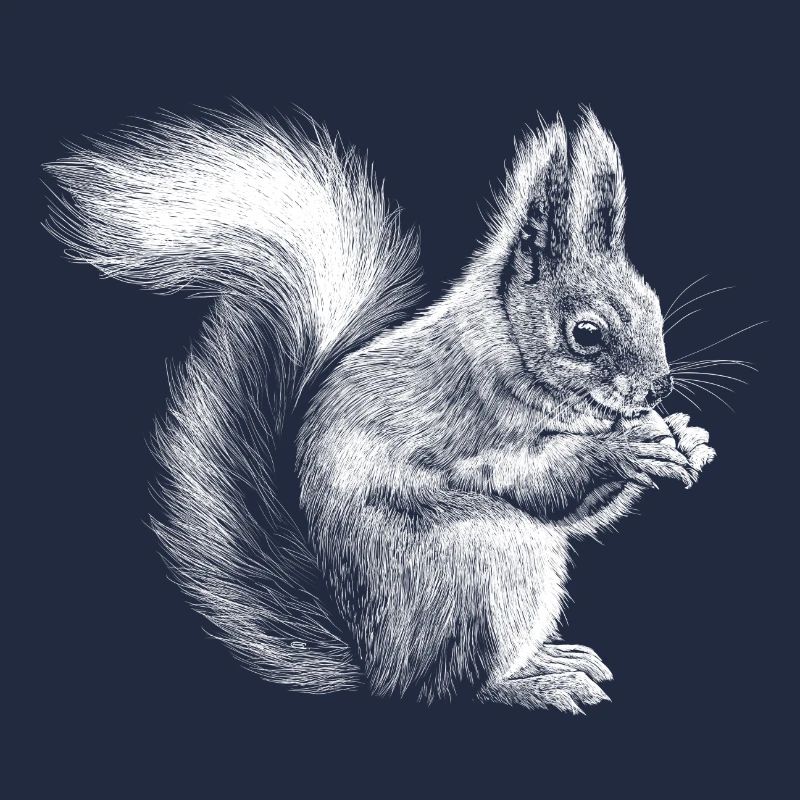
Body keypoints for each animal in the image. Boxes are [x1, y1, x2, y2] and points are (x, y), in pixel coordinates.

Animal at [44, 106, 716, 712]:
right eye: (586, 333)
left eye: (653, 306)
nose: (658, 389)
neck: (506, 347)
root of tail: (376, 665)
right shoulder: (475, 431)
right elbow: (534, 482)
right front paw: (625, 446)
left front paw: (687, 437)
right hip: (486, 560)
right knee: (450, 687)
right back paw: (535, 683)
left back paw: (552, 659)